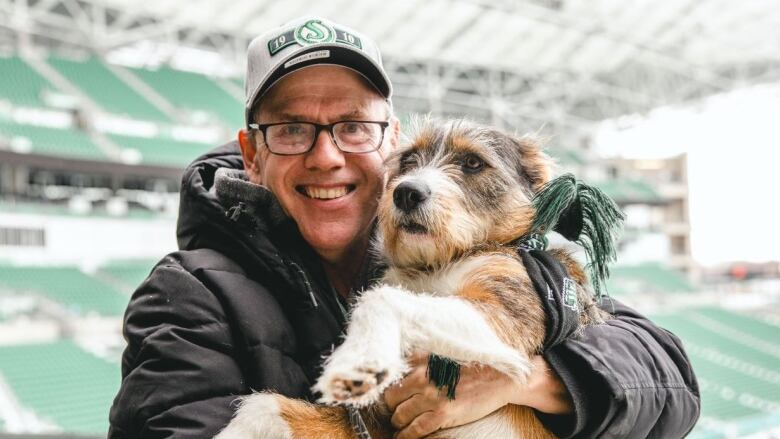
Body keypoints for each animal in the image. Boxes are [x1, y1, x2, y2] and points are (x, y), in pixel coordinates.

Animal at [218, 119, 608, 439]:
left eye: (473, 163)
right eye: (407, 161)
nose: (406, 192)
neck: (437, 263)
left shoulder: (510, 315)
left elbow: (383, 298)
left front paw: (359, 359)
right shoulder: (372, 424)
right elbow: (264, 408)